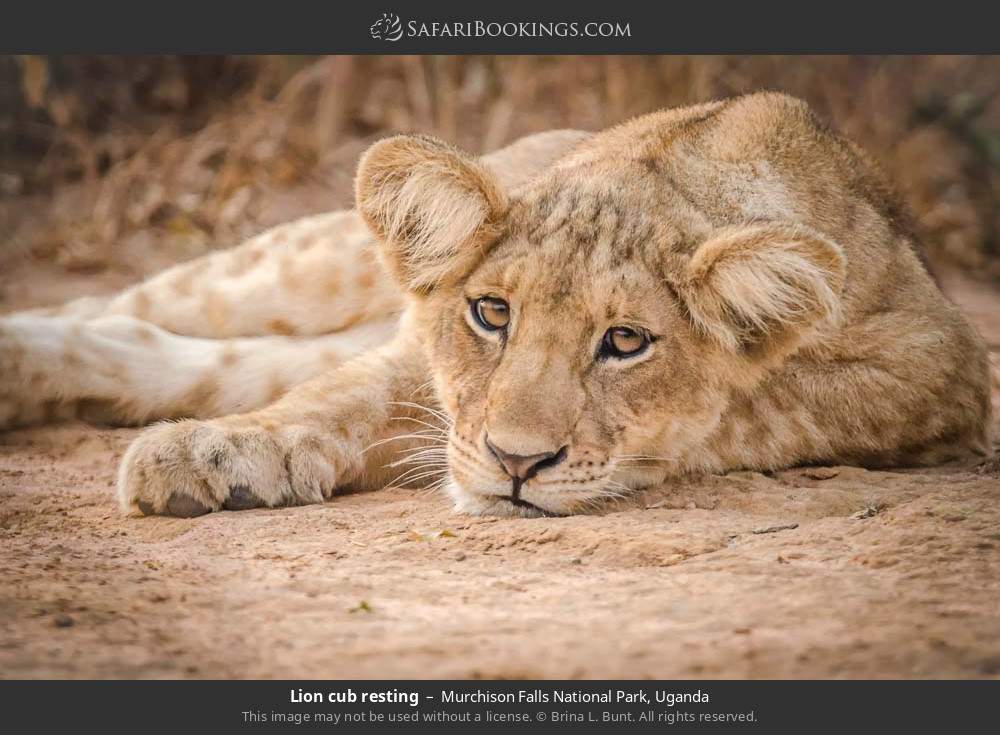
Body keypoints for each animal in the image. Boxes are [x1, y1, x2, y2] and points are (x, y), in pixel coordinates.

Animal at [0, 93, 991, 518]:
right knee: (136, 301)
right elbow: (350, 393)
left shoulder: (941, 366)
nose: (518, 464)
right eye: (491, 314)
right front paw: (226, 454)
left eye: (625, 341)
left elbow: (758, 402)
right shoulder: (418, 346)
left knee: (176, 349)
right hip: (310, 260)